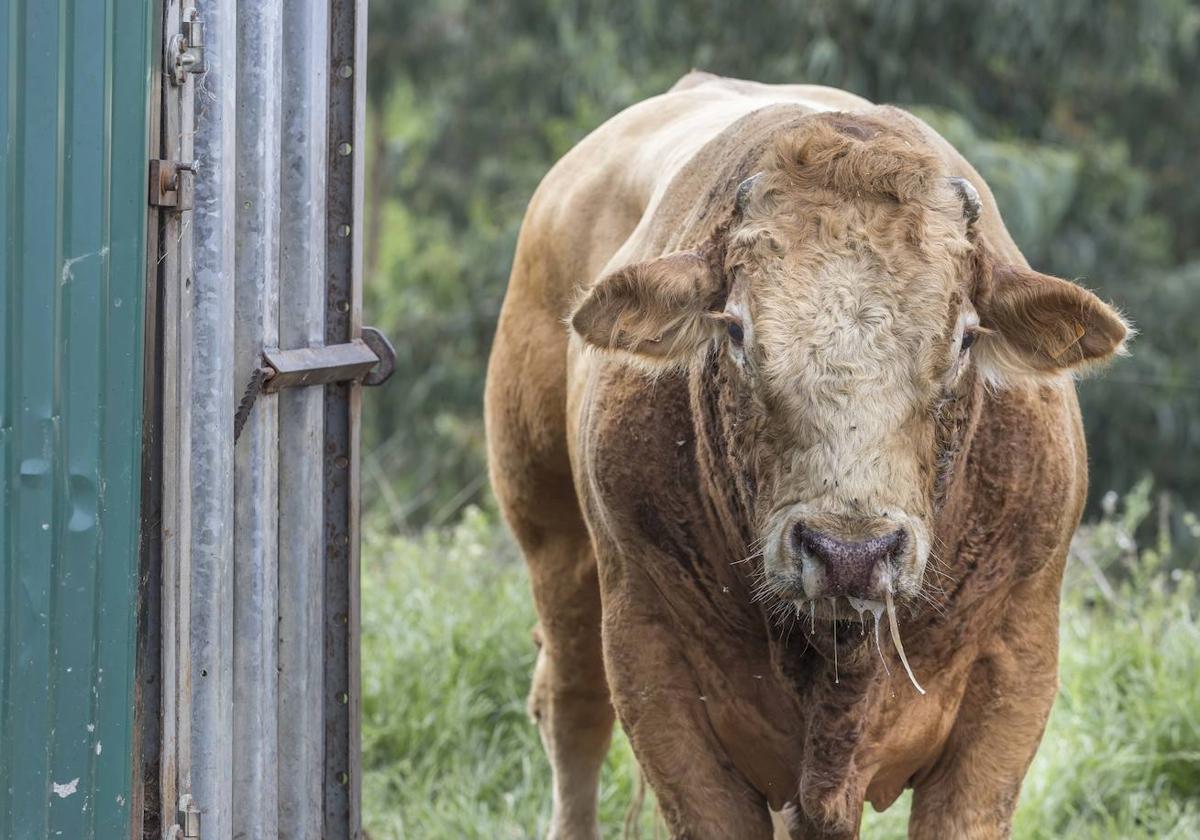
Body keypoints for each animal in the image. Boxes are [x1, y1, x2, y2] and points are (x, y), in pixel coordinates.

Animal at [482, 73, 1128, 840]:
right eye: (735, 330)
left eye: (966, 337)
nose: (851, 552)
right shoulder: (655, 671)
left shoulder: (1013, 674)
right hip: (556, 544)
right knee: (572, 708)